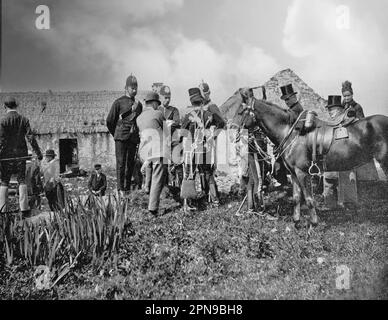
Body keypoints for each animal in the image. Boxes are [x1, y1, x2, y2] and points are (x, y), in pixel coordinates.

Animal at [221, 92, 388, 228]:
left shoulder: (302, 172)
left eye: (241, 111)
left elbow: (308, 199)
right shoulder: (294, 174)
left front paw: (313, 223)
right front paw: (296, 222)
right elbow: (296, 198)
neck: (291, 133)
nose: (231, 132)